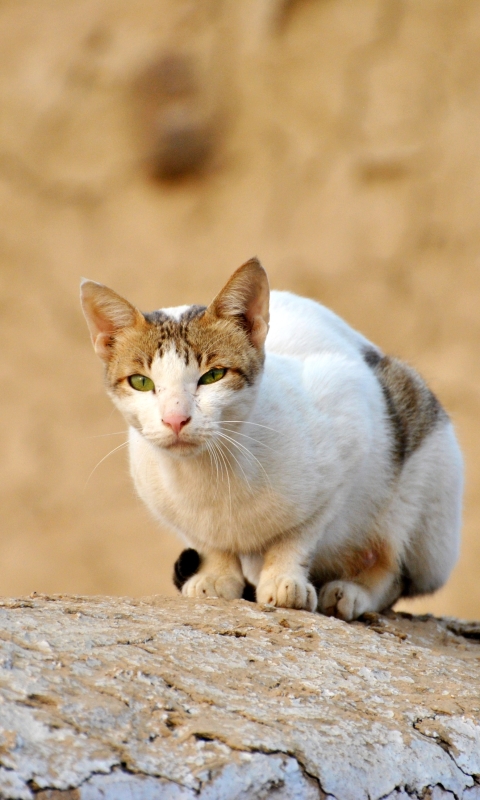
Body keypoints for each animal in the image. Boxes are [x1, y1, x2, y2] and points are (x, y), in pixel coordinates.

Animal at [80, 256, 464, 620]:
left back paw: (352, 592)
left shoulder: (347, 431)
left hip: (425, 485)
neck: (212, 474)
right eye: (141, 382)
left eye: (213, 375)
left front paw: (284, 580)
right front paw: (217, 574)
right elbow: (207, 541)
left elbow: (298, 535)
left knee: (393, 568)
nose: (176, 419)